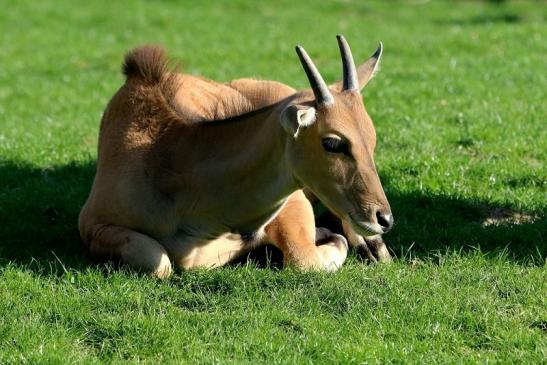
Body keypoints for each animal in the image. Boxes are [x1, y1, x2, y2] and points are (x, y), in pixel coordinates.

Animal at [78, 34, 394, 278]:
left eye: (372, 140)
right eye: (332, 142)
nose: (384, 218)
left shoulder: (292, 202)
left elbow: (305, 259)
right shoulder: (92, 224)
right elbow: (160, 263)